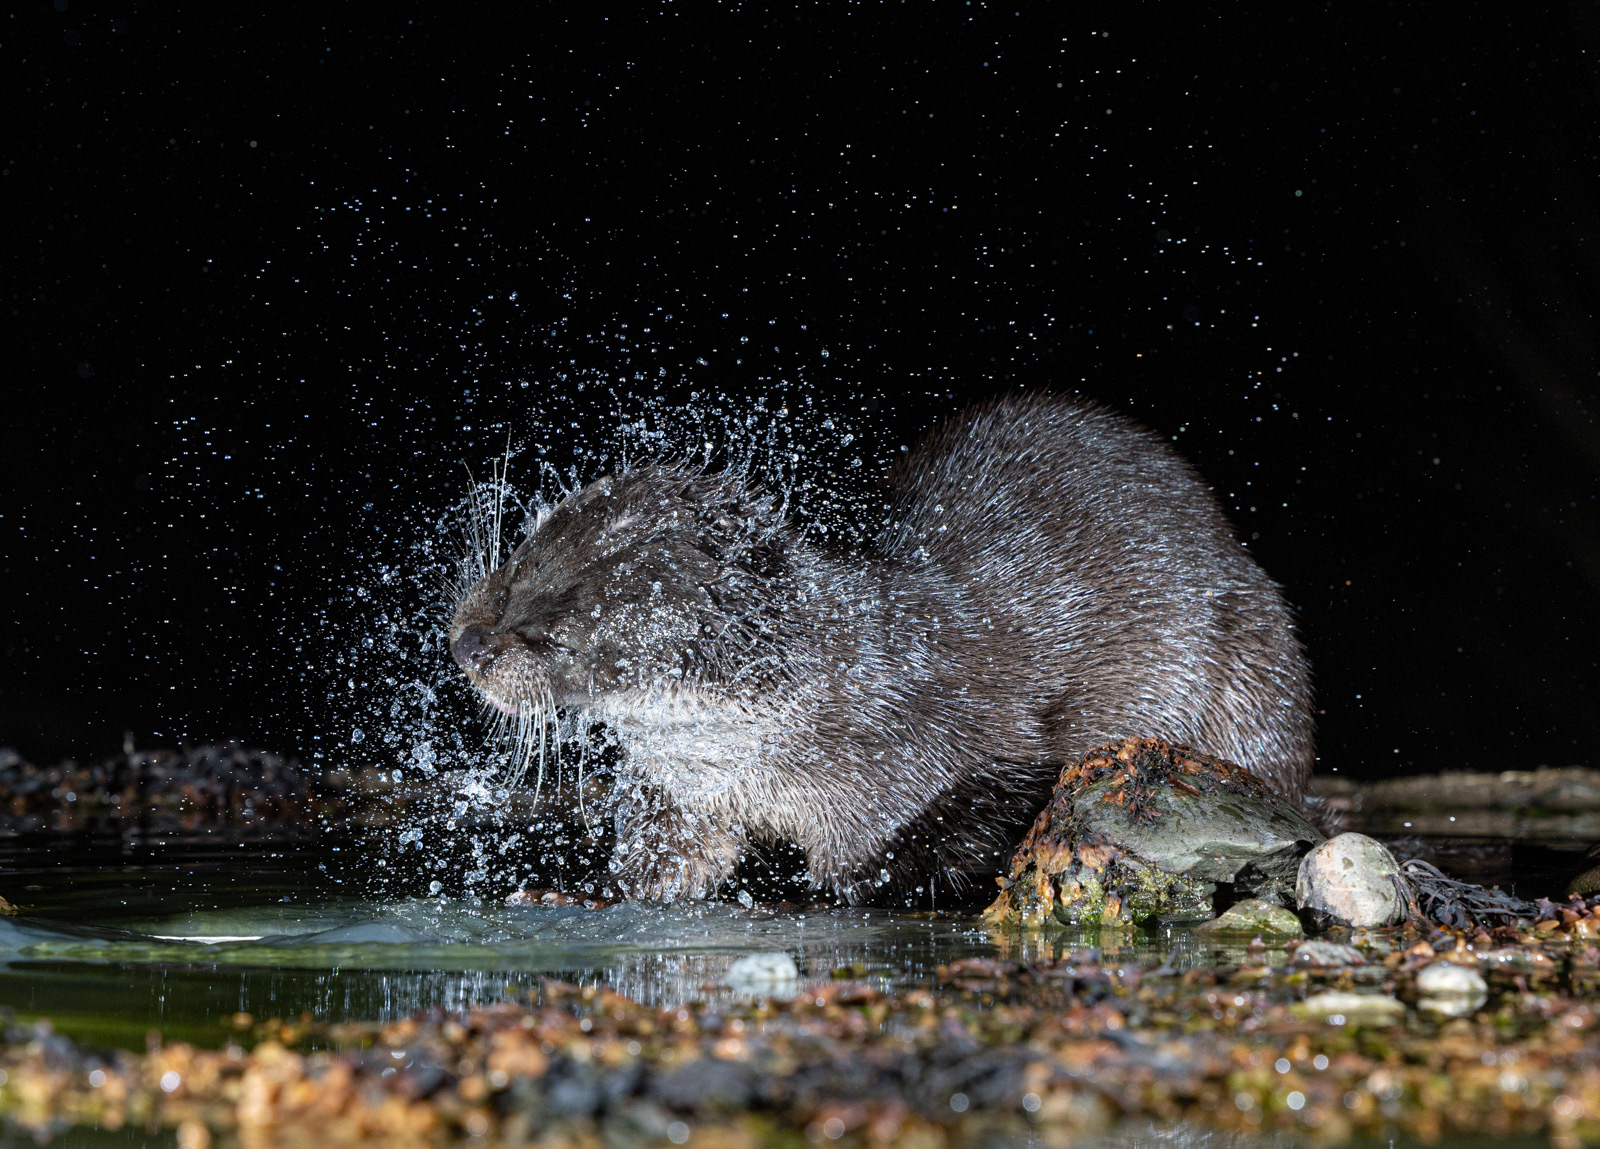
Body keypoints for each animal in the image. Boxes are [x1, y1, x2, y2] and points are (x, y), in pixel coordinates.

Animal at [448, 393, 1314, 903]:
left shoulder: (931, 751)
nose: (469, 641)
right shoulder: (679, 795)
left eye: (567, 608)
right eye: (525, 550)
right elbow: (652, 878)